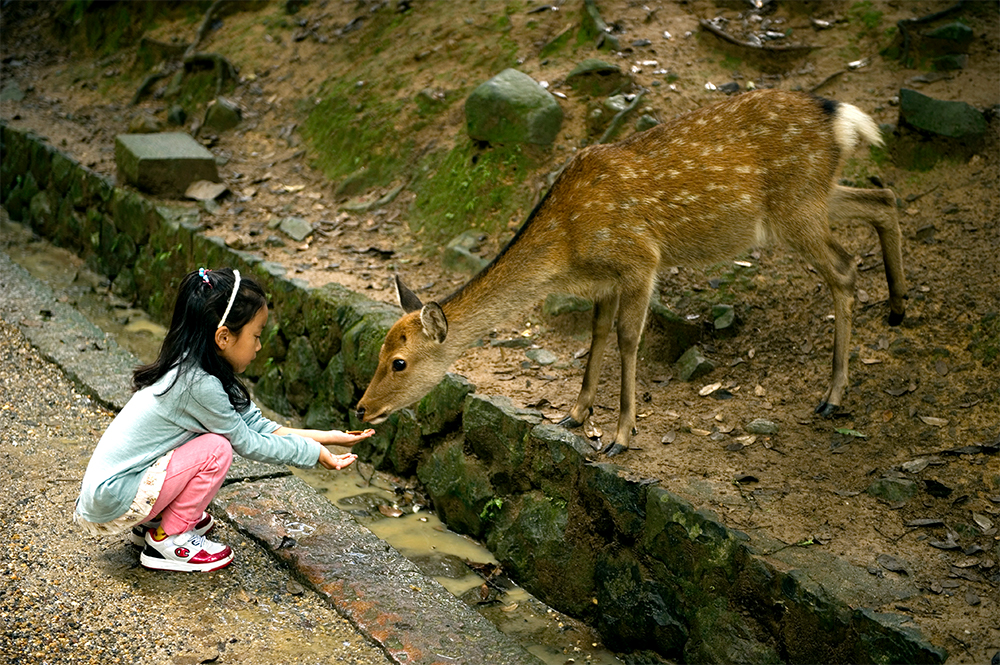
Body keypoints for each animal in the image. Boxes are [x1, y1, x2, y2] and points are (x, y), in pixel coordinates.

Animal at [356, 89, 912, 456]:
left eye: (399, 362)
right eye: (379, 351)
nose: (361, 408)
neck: (567, 252)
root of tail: (841, 118)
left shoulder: (640, 260)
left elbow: (627, 339)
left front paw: (622, 436)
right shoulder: (604, 280)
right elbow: (596, 333)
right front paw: (576, 413)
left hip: (795, 209)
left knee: (845, 268)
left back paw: (832, 395)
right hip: (814, 197)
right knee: (883, 197)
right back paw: (898, 308)